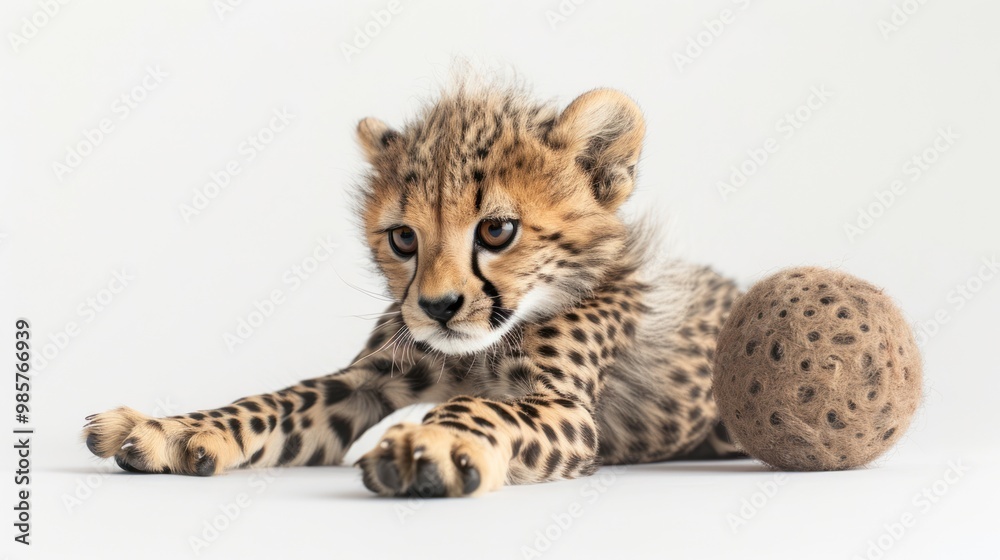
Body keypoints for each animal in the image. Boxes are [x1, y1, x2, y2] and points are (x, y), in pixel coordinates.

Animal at [83, 77, 743, 497]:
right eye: (403, 239)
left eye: (497, 230)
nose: (439, 307)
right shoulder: (367, 379)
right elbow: (279, 399)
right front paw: (175, 428)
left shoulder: (568, 409)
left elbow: (479, 405)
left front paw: (432, 446)